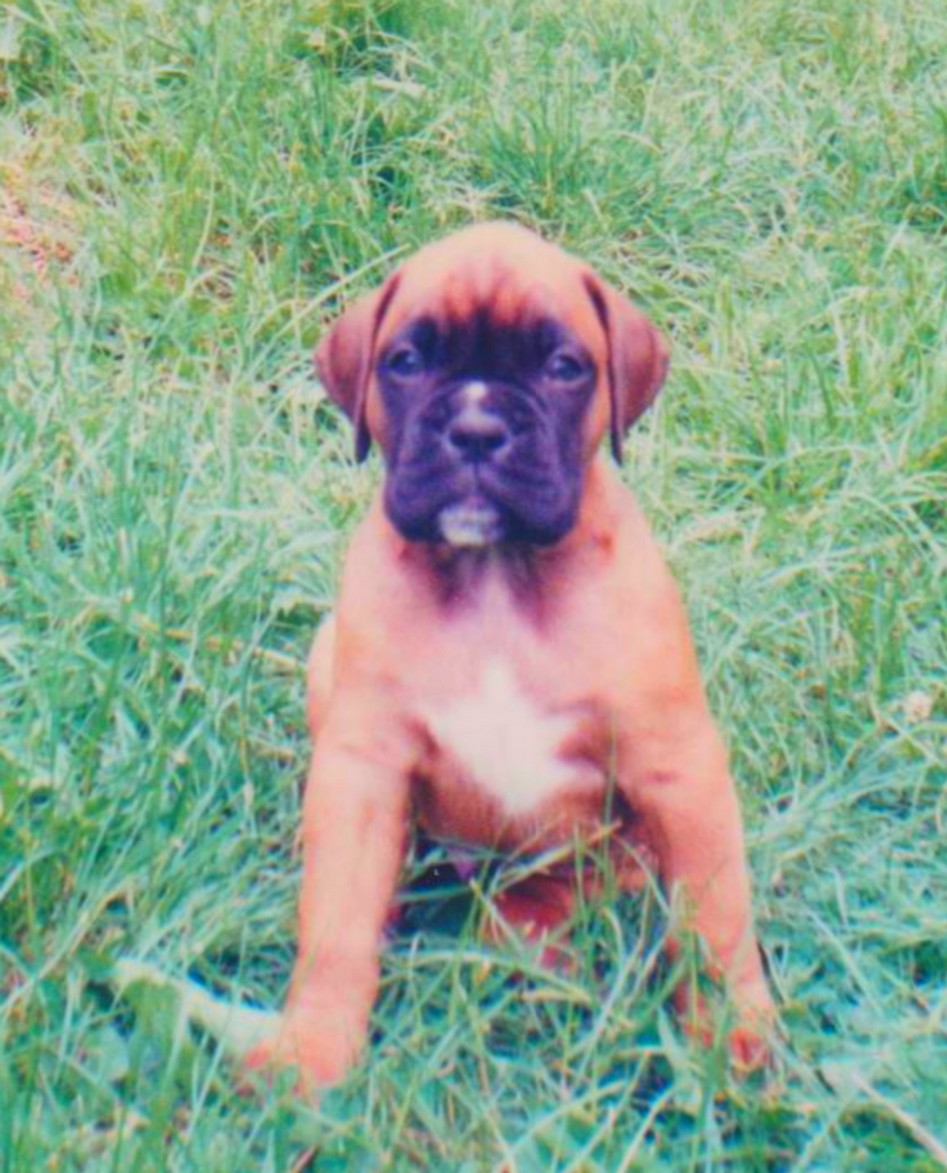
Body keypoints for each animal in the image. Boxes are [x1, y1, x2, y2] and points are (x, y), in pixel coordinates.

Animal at [245, 222, 774, 1089]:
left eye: (563, 366)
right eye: (406, 360)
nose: (475, 430)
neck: (495, 576)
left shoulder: (680, 770)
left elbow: (716, 917)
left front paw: (733, 1034)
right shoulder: (363, 770)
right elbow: (336, 925)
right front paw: (311, 1049)